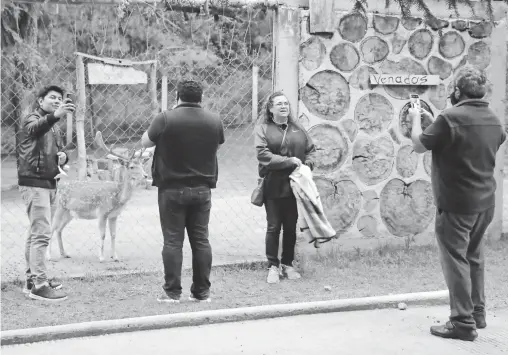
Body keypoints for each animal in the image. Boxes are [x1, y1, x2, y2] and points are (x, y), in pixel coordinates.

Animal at [47, 132, 151, 262]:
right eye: (131, 167)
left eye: (142, 164)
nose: (145, 175)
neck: (118, 199)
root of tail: (58, 186)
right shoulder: (102, 212)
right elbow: (103, 234)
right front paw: (101, 257)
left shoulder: (114, 215)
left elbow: (113, 235)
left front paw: (115, 257)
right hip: (58, 207)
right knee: (51, 229)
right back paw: (49, 256)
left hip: (69, 213)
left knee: (59, 229)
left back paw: (64, 253)